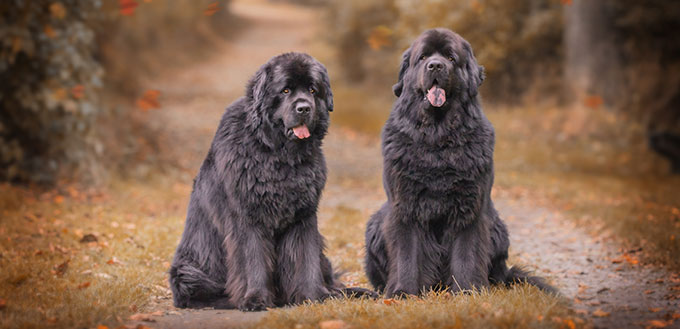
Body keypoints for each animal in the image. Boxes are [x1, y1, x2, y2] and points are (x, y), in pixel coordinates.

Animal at [170, 52, 372, 310]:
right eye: (285, 90)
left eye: (313, 90)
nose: (304, 108)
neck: (278, 155)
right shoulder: (247, 216)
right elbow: (253, 259)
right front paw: (255, 299)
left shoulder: (304, 216)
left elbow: (305, 258)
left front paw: (313, 296)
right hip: (188, 271)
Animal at [364, 27, 556, 294]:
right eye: (423, 57)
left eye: (451, 58)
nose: (435, 66)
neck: (437, 138)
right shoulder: (404, 206)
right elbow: (406, 253)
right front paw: (403, 292)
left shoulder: (470, 207)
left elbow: (467, 253)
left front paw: (467, 291)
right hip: (374, 225)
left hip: (498, 228)